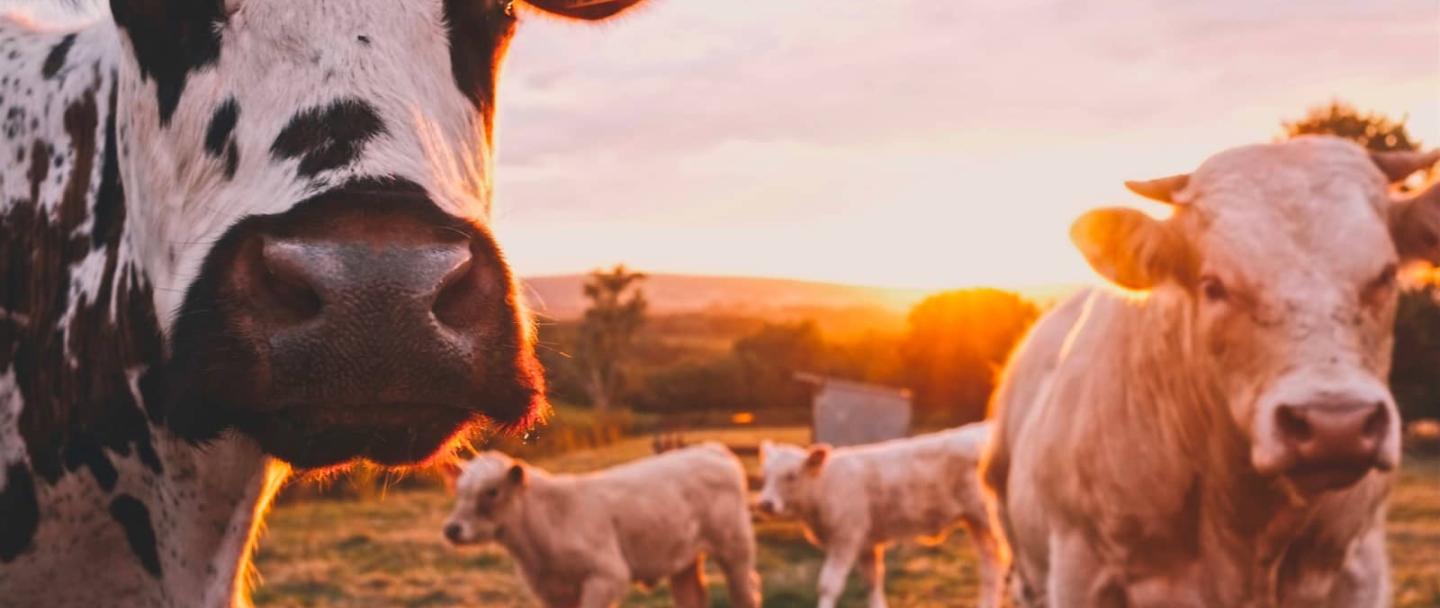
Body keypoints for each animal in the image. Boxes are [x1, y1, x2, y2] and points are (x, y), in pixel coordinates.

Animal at [442, 444, 762, 608]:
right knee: (691, 596)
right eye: (459, 490)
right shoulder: (551, 592)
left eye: (492, 491)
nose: (452, 529)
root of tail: (711, 449)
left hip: (736, 549)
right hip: (683, 558)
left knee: (745, 590)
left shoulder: (607, 575)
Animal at [756, 423, 1004, 608]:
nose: (765, 504)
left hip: (989, 517)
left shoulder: (846, 538)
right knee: (990, 566)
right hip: (975, 521)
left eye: (792, 476)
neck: (825, 484)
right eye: (765, 474)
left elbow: (828, 585)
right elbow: (872, 581)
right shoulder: (867, 543)